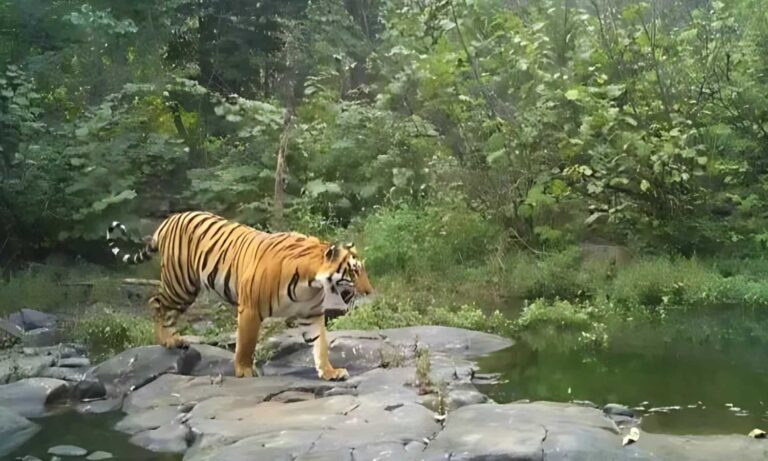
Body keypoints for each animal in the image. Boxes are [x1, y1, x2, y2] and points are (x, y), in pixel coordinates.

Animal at [106, 210, 373, 380]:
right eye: (354, 271)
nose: (370, 291)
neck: (311, 283)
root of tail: (168, 220)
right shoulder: (250, 309)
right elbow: (246, 343)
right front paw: (244, 370)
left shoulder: (311, 314)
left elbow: (320, 346)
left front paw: (330, 372)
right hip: (179, 283)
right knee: (156, 302)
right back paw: (164, 339)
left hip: (185, 289)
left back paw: (174, 340)